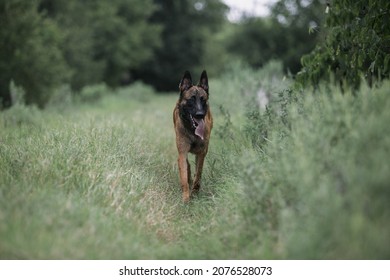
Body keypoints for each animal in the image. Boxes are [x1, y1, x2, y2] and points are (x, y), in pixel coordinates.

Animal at [173, 69, 212, 201]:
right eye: (191, 99)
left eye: (203, 99)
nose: (200, 114)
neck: (192, 130)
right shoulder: (182, 151)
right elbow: (184, 177)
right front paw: (186, 198)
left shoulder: (201, 153)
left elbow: (198, 175)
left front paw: (194, 193)